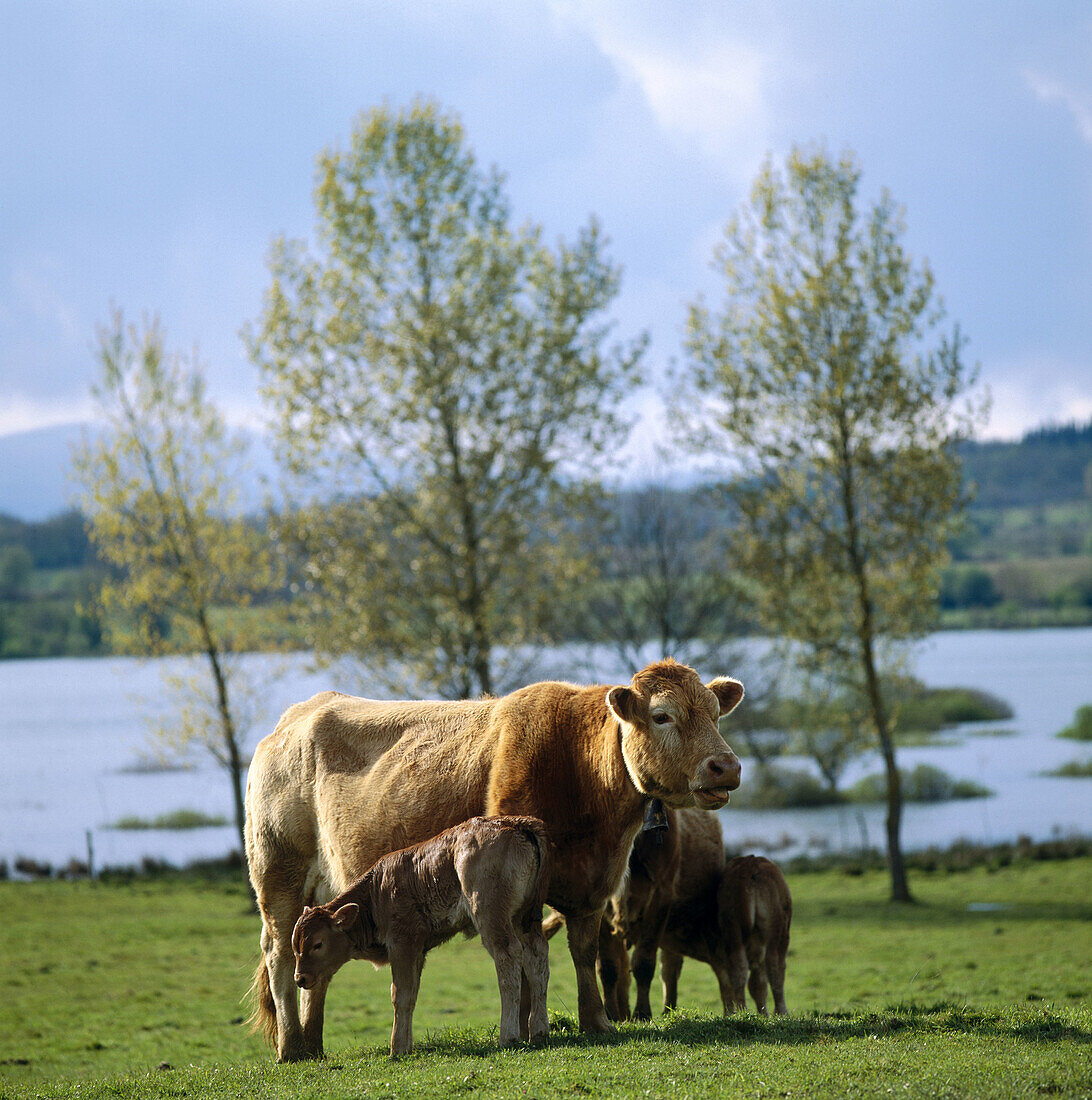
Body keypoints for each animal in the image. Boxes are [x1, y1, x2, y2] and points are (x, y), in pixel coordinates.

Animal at [290, 818, 549, 1056]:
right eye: (295, 947)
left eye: (318, 944)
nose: (300, 978)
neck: (377, 893)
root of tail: (515, 824)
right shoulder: (418, 951)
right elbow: (412, 994)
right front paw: (407, 1045)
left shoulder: (402, 944)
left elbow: (400, 994)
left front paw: (397, 1049)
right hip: (524, 919)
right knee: (536, 957)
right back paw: (539, 1031)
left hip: (491, 916)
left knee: (508, 957)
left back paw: (508, 1036)